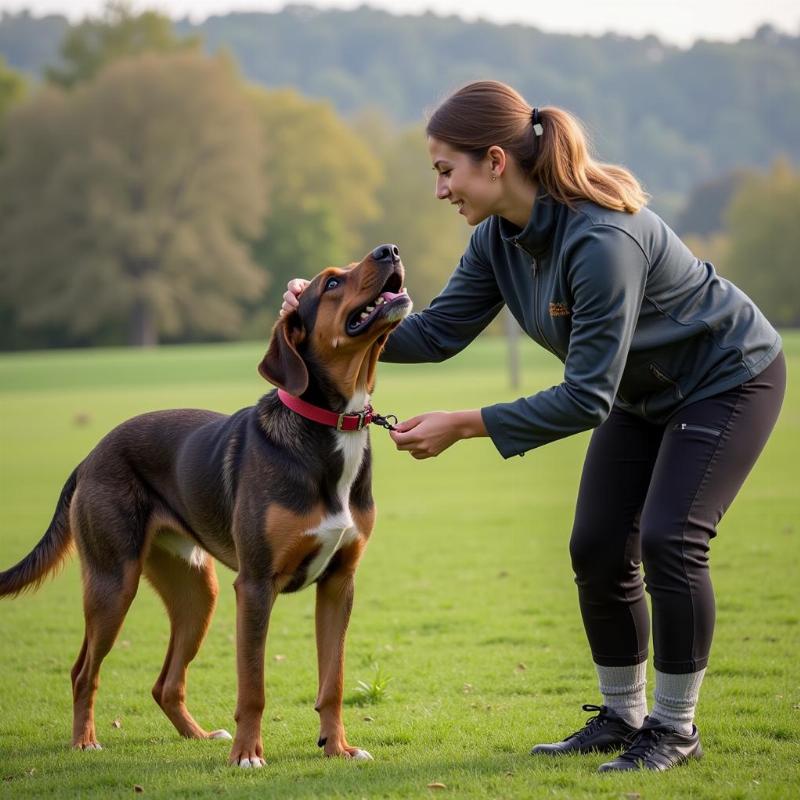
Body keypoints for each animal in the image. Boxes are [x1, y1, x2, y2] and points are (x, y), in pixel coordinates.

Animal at [0, 245, 412, 768]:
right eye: (332, 283)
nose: (389, 250)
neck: (332, 426)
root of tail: (90, 456)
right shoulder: (256, 585)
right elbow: (253, 686)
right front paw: (247, 755)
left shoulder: (339, 584)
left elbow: (332, 682)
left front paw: (337, 747)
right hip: (113, 585)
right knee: (82, 671)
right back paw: (85, 740)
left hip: (198, 592)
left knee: (165, 684)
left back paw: (196, 735)